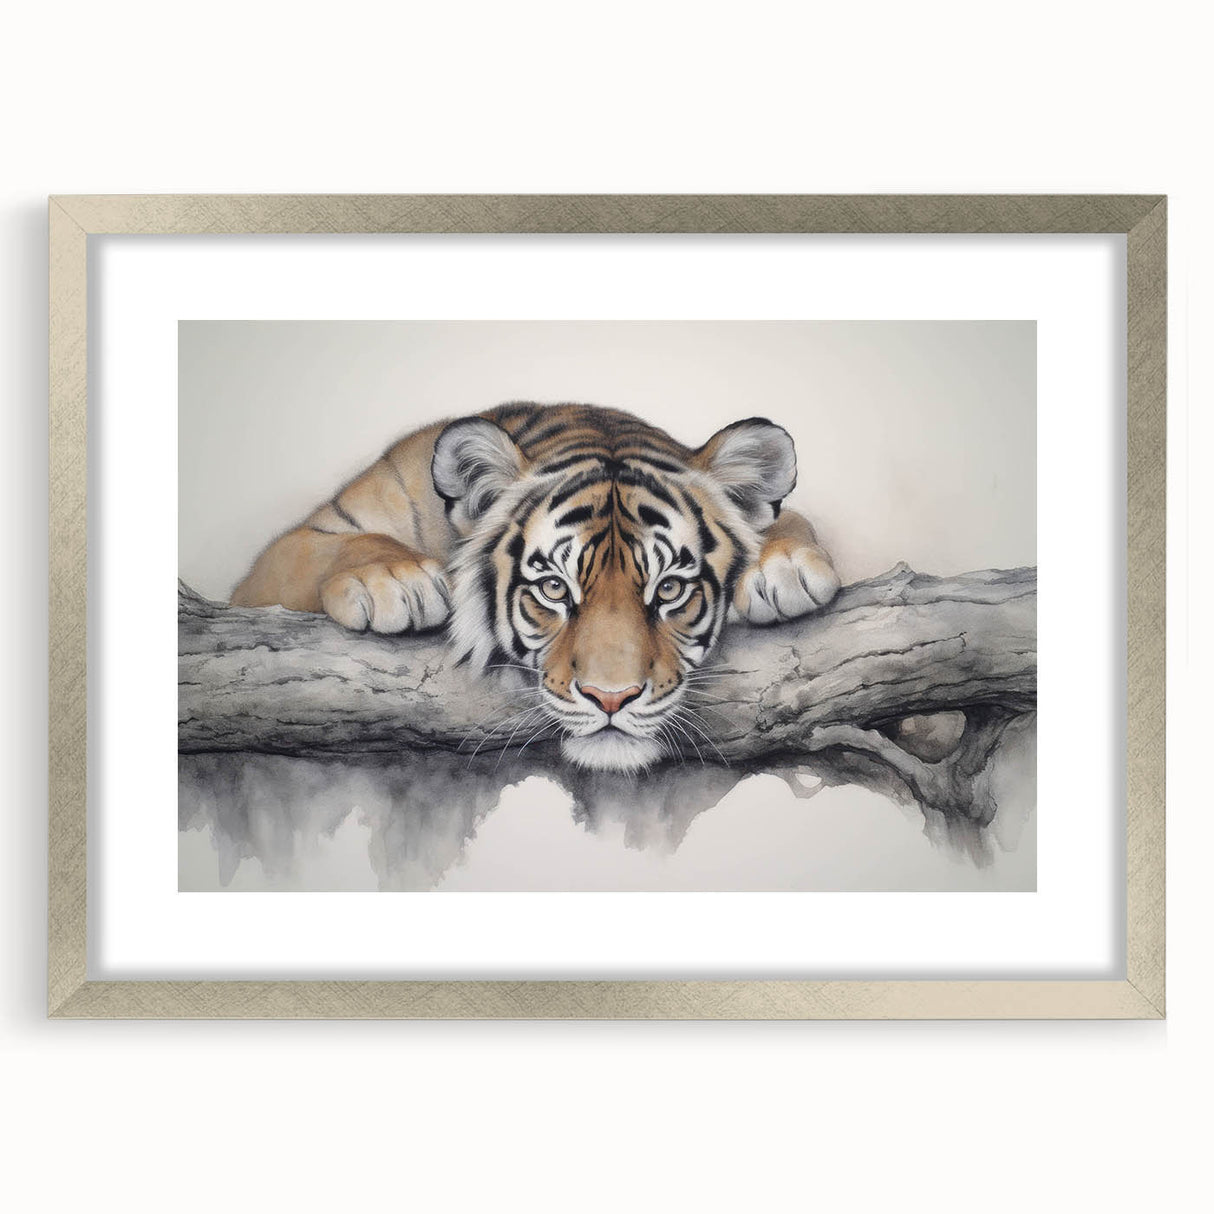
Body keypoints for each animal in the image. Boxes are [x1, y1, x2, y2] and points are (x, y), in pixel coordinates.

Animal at [231, 403, 841, 772]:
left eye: (669, 590)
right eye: (553, 588)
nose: (611, 699)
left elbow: (787, 521)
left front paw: (786, 566)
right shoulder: (282, 557)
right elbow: (337, 545)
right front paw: (397, 581)